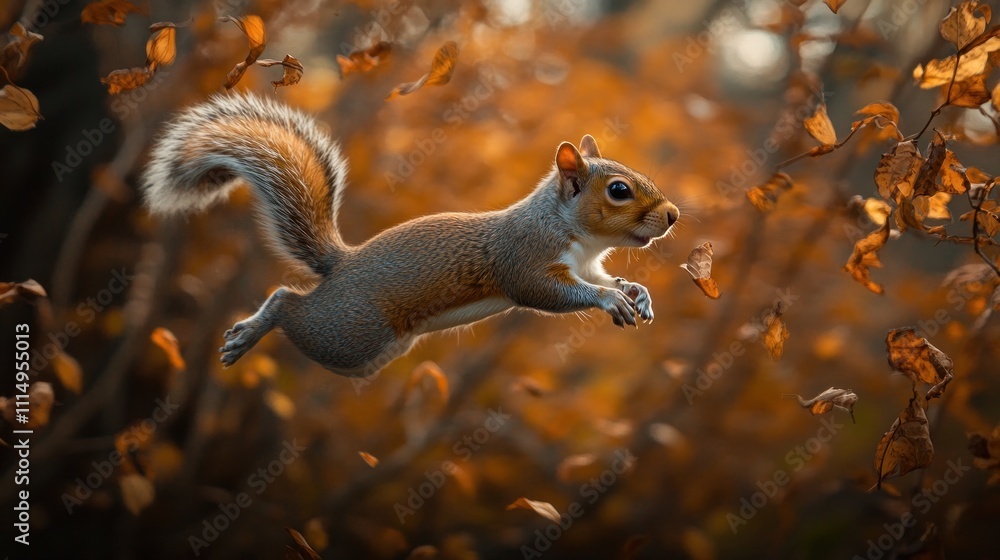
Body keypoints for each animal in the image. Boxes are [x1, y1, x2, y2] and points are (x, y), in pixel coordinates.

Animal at [141, 93, 679, 378]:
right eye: (619, 190)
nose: (673, 215)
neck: (578, 235)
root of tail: (342, 264)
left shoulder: (589, 264)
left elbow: (608, 281)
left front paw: (637, 294)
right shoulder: (523, 258)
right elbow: (545, 291)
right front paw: (609, 301)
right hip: (350, 334)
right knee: (286, 304)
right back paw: (250, 332)